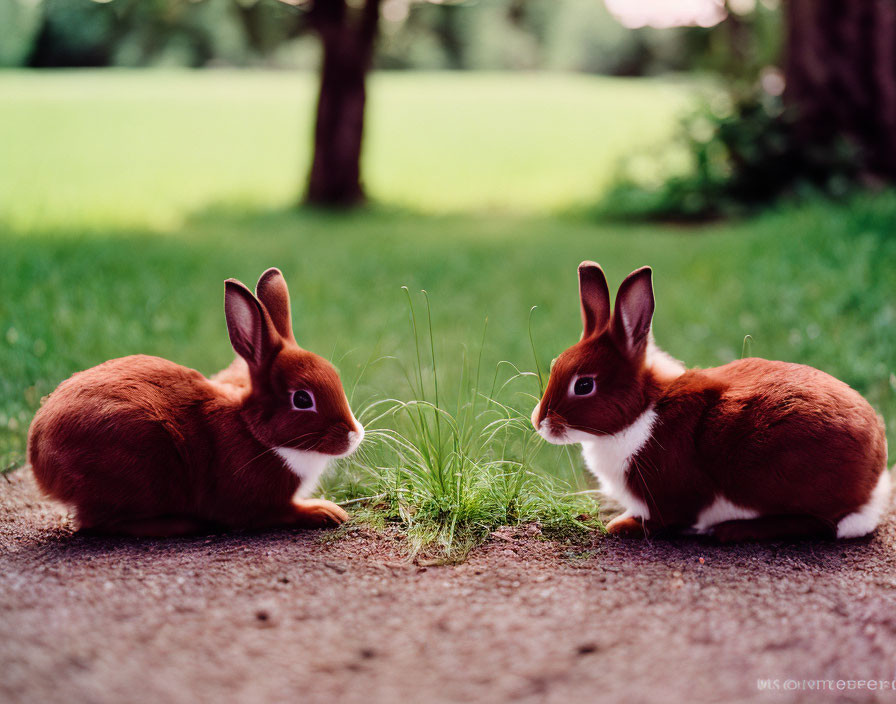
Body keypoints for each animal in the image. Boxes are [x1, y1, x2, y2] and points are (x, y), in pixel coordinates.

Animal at [28, 266, 364, 536]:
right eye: (303, 399)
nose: (354, 436)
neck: (255, 432)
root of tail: (38, 453)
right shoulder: (255, 504)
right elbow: (280, 512)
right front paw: (327, 511)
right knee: (97, 523)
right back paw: (181, 524)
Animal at [532, 262, 888, 540]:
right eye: (554, 365)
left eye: (584, 385)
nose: (539, 422)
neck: (642, 412)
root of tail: (875, 469)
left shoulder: (668, 497)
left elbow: (665, 520)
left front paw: (621, 525)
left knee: (823, 524)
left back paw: (732, 530)